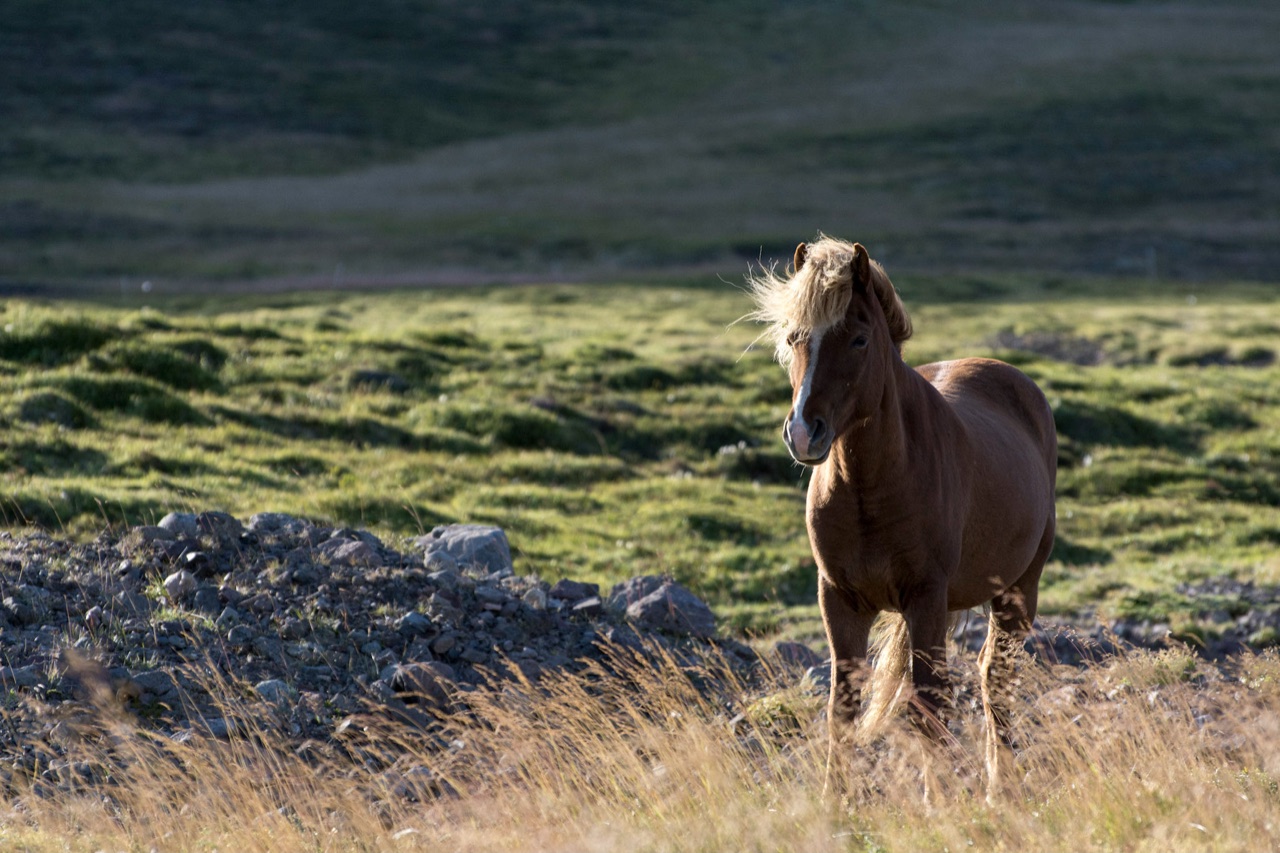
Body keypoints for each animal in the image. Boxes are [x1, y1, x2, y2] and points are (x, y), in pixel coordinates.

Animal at [747, 236, 1057, 799]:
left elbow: (929, 706)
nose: (803, 432)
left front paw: (936, 803)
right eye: (794, 336)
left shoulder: (925, 597)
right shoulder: (839, 599)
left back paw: (998, 789)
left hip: (1018, 589)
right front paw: (835, 802)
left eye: (859, 340)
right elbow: (842, 708)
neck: (869, 487)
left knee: (995, 681)